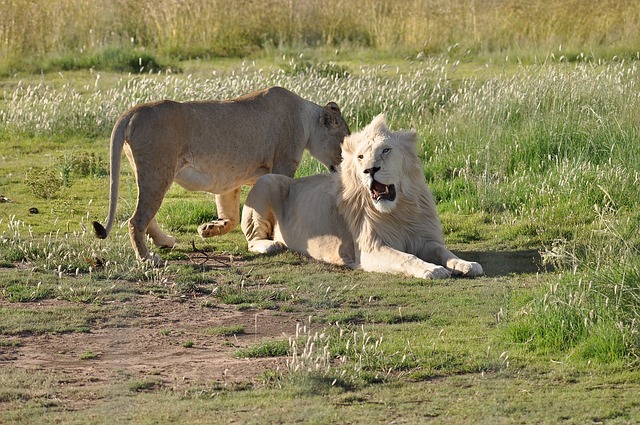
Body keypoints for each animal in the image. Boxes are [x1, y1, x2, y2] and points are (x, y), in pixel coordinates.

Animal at [92, 85, 348, 262]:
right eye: (346, 143)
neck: (306, 120)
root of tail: (132, 112)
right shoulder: (282, 167)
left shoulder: (230, 180)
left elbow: (232, 214)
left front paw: (210, 229)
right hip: (157, 171)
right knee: (136, 219)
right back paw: (147, 259)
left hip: (149, 174)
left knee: (146, 216)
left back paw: (165, 242)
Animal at [242, 113, 482, 278]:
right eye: (360, 157)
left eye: (386, 150)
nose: (370, 170)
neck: (399, 210)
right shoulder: (370, 249)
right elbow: (407, 258)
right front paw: (433, 270)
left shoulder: (424, 239)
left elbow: (446, 252)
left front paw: (466, 264)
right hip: (267, 181)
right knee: (253, 240)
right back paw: (272, 245)